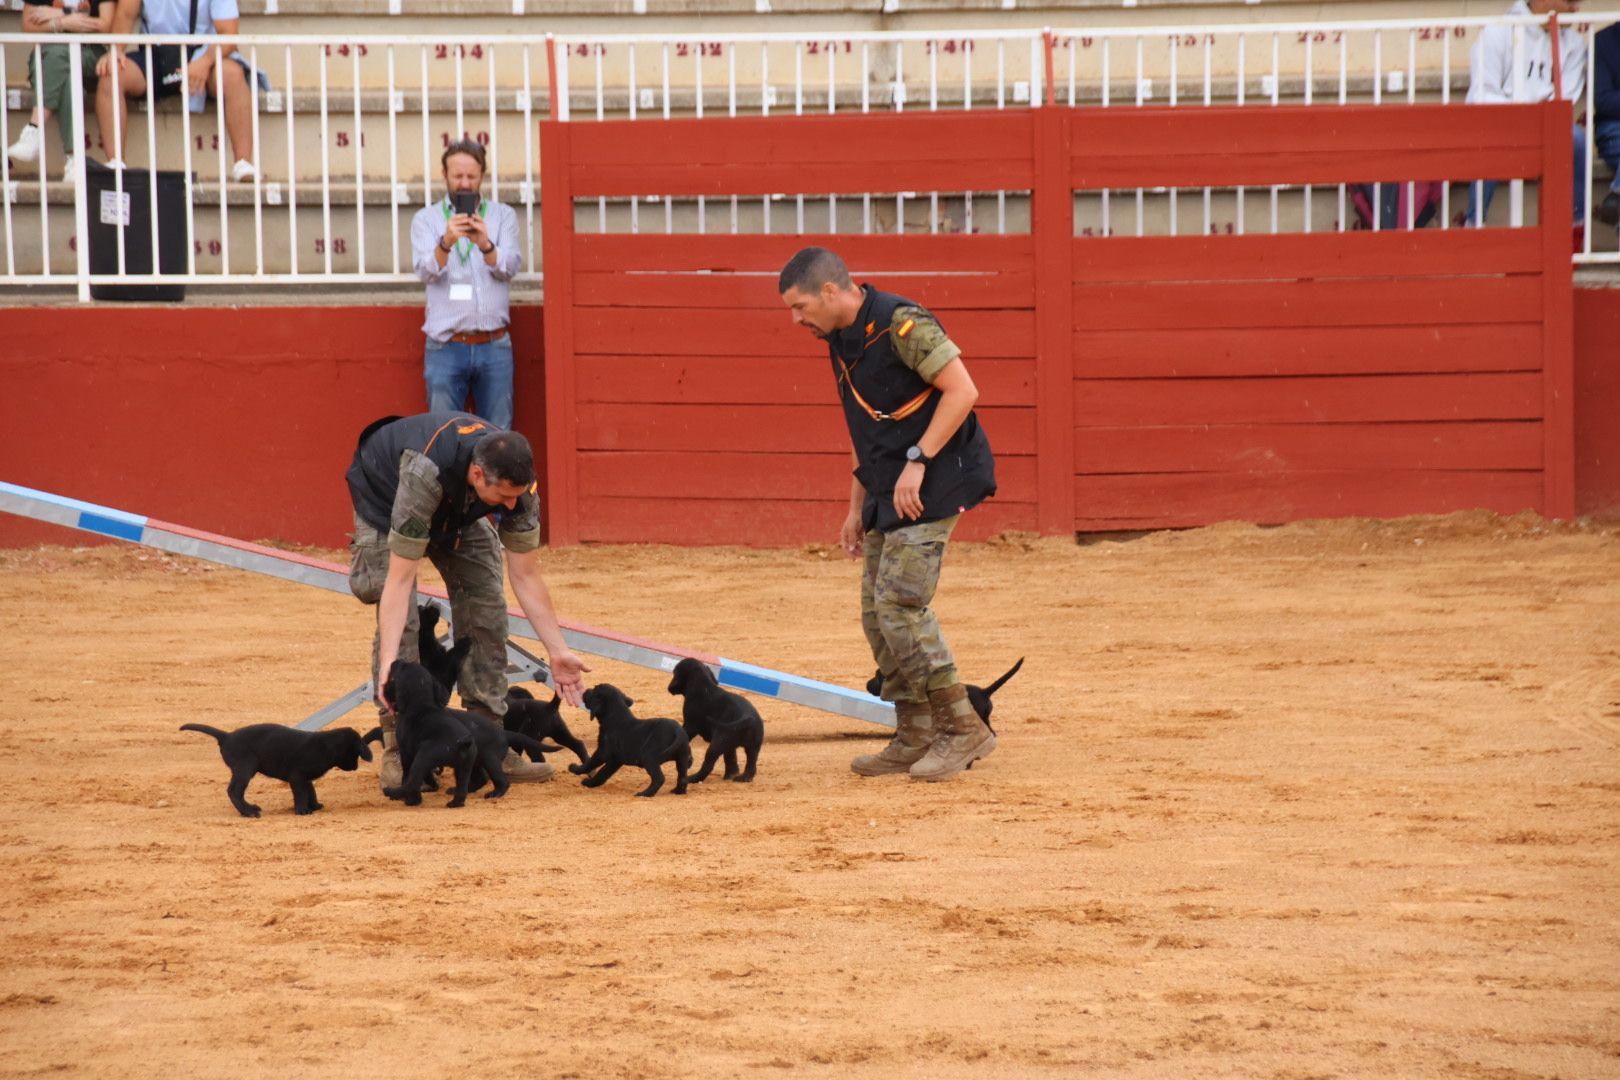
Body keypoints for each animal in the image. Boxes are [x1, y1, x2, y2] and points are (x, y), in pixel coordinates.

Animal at [180, 722, 372, 816]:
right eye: (356, 753)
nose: (355, 768)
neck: (326, 746)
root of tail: (227, 736)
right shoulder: (297, 777)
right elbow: (301, 795)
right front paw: (302, 811)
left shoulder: (305, 778)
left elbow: (311, 792)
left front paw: (315, 806)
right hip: (245, 769)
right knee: (234, 792)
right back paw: (248, 812)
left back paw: (250, 808)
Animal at [379, 663, 473, 806]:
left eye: (402, 668)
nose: (395, 662)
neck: (422, 703)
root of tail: (461, 743)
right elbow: (428, 776)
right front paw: (433, 785)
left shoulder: (406, 752)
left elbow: (406, 774)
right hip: (464, 769)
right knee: (462, 790)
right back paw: (453, 804)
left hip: (422, 758)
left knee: (411, 784)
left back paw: (401, 797)